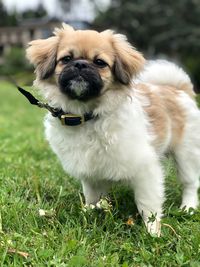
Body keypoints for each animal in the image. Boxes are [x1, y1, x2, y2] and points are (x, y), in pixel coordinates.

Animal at [25, 23, 199, 237]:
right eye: (66, 59)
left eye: (100, 63)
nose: (80, 64)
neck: (87, 115)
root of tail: (180, 90)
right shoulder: (90, 173)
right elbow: (93, 197)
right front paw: (90, 213)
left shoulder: (146, 169)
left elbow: (147, 205)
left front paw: (153, 233)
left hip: (186, 155)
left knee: (190, 183)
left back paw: (188, 207)